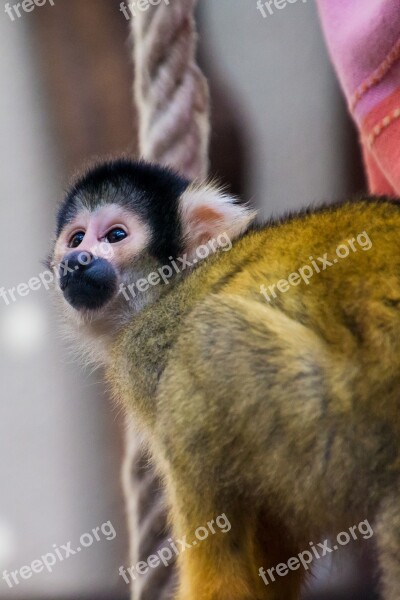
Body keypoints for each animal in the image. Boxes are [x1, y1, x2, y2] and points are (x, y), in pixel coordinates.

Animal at [50, 159, 400, 600]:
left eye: (115, 235)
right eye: (76, 238)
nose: (76, 259)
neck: (165, 288)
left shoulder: (146, 347)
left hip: (340, 421)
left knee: (203, 341)